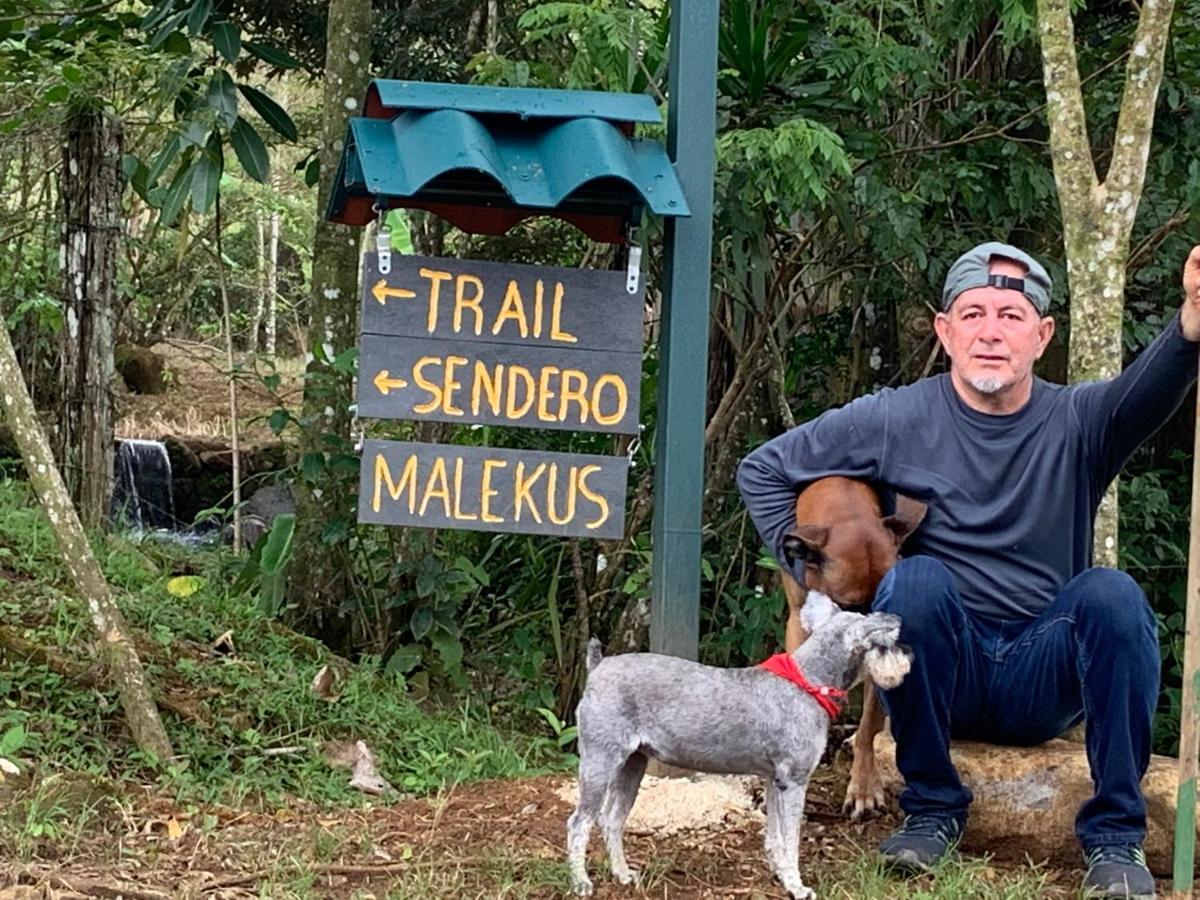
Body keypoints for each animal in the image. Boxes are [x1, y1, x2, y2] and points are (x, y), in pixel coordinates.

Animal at [564, 592, 907, 900]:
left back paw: (622, 874)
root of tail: (598, 667)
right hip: (600, 764)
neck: (808, 682)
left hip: (632, 766)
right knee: (579, 822)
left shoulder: (775, 781)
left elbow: (775, 837)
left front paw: (780, 874)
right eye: (885, 644)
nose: (908, 655)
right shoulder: (795, 782)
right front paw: (797, 886)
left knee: (612, 820)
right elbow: (791, 839)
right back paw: (581, 883)